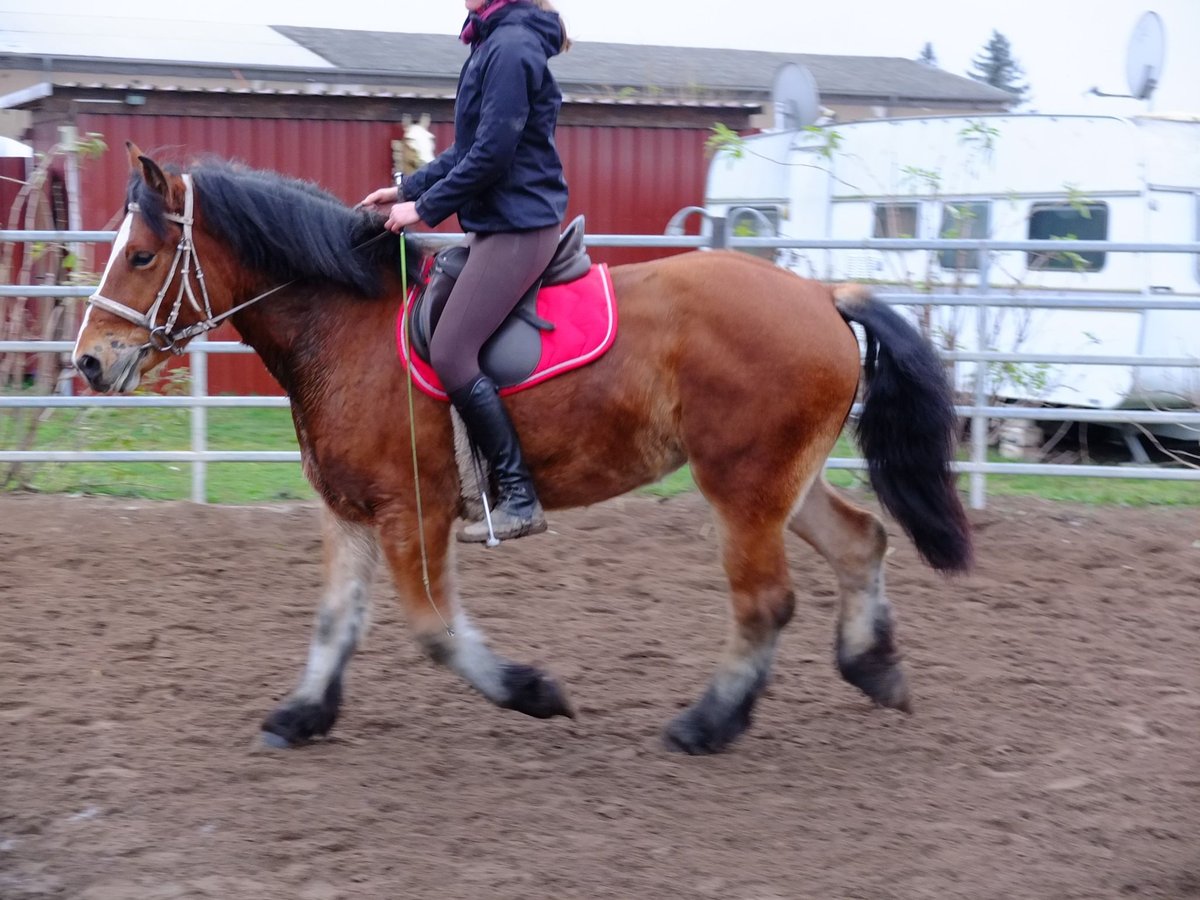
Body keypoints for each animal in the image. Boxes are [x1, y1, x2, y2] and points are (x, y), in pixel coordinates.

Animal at [70, 144, 974, 758]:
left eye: (142, 255)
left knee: (765, 603)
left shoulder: (413, 511)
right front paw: (301, 714)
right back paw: (873, 668)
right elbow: (335, 620)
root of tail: (822, 296)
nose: (88, 363)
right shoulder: (350, 508)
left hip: (742, 488)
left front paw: (534, 692)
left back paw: (706, 724)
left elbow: (434, 630)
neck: (347, 325)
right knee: (861, 542)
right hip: (782, 479)